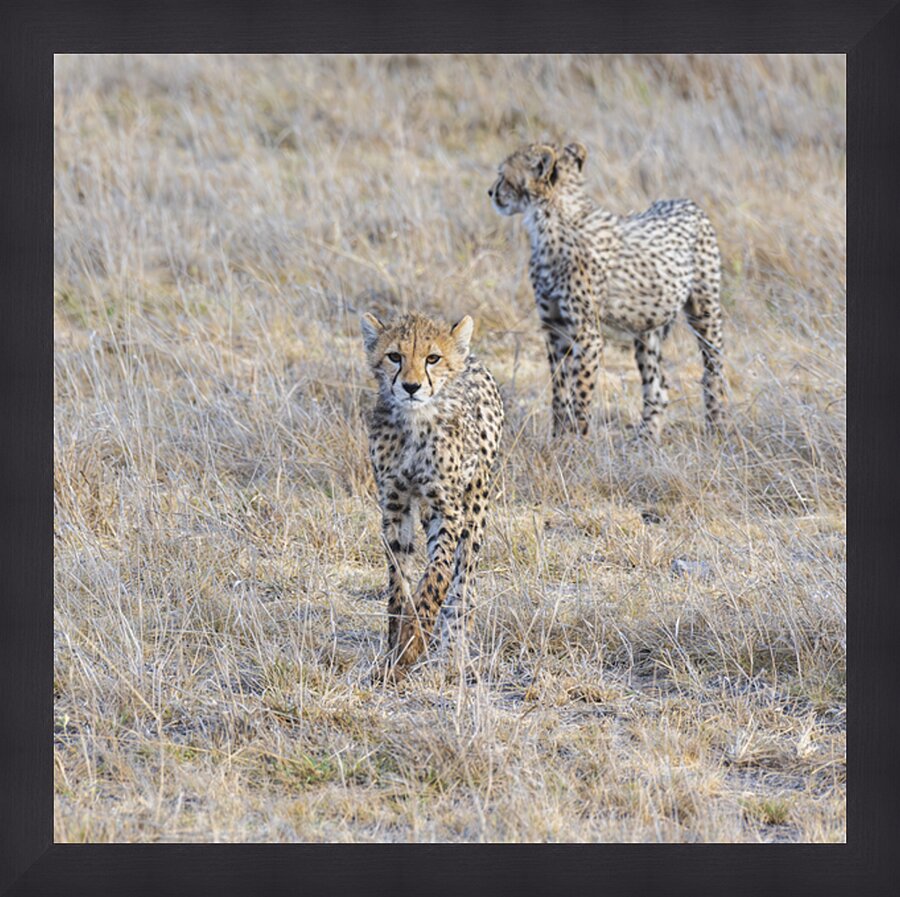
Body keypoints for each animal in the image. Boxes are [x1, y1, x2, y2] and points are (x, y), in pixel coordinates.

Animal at [361, 311, 504, 679]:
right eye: (394, 356)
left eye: (432, 358)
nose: (411, 387)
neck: (415, 422)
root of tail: (471, 357)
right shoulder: (395, 507)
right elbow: (399, 580)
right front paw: (396, 647)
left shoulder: (447, 509)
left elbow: (437, 575)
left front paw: (414, 640)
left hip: (476, 503)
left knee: (463, 578)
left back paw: (453, 646)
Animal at [489, 140, 725, 439]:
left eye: (503, 174)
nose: (491, 192)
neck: (550, 219)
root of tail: (686, 202)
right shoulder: (554, 326)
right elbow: (559, 389)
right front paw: (558, 437)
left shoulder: (586, 332)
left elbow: (581, 391)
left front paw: (576, 440)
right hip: (647, 328)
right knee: (657, 387)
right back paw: (645, 438)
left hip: (704, 311)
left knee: (714, 369)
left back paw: (717, 428)